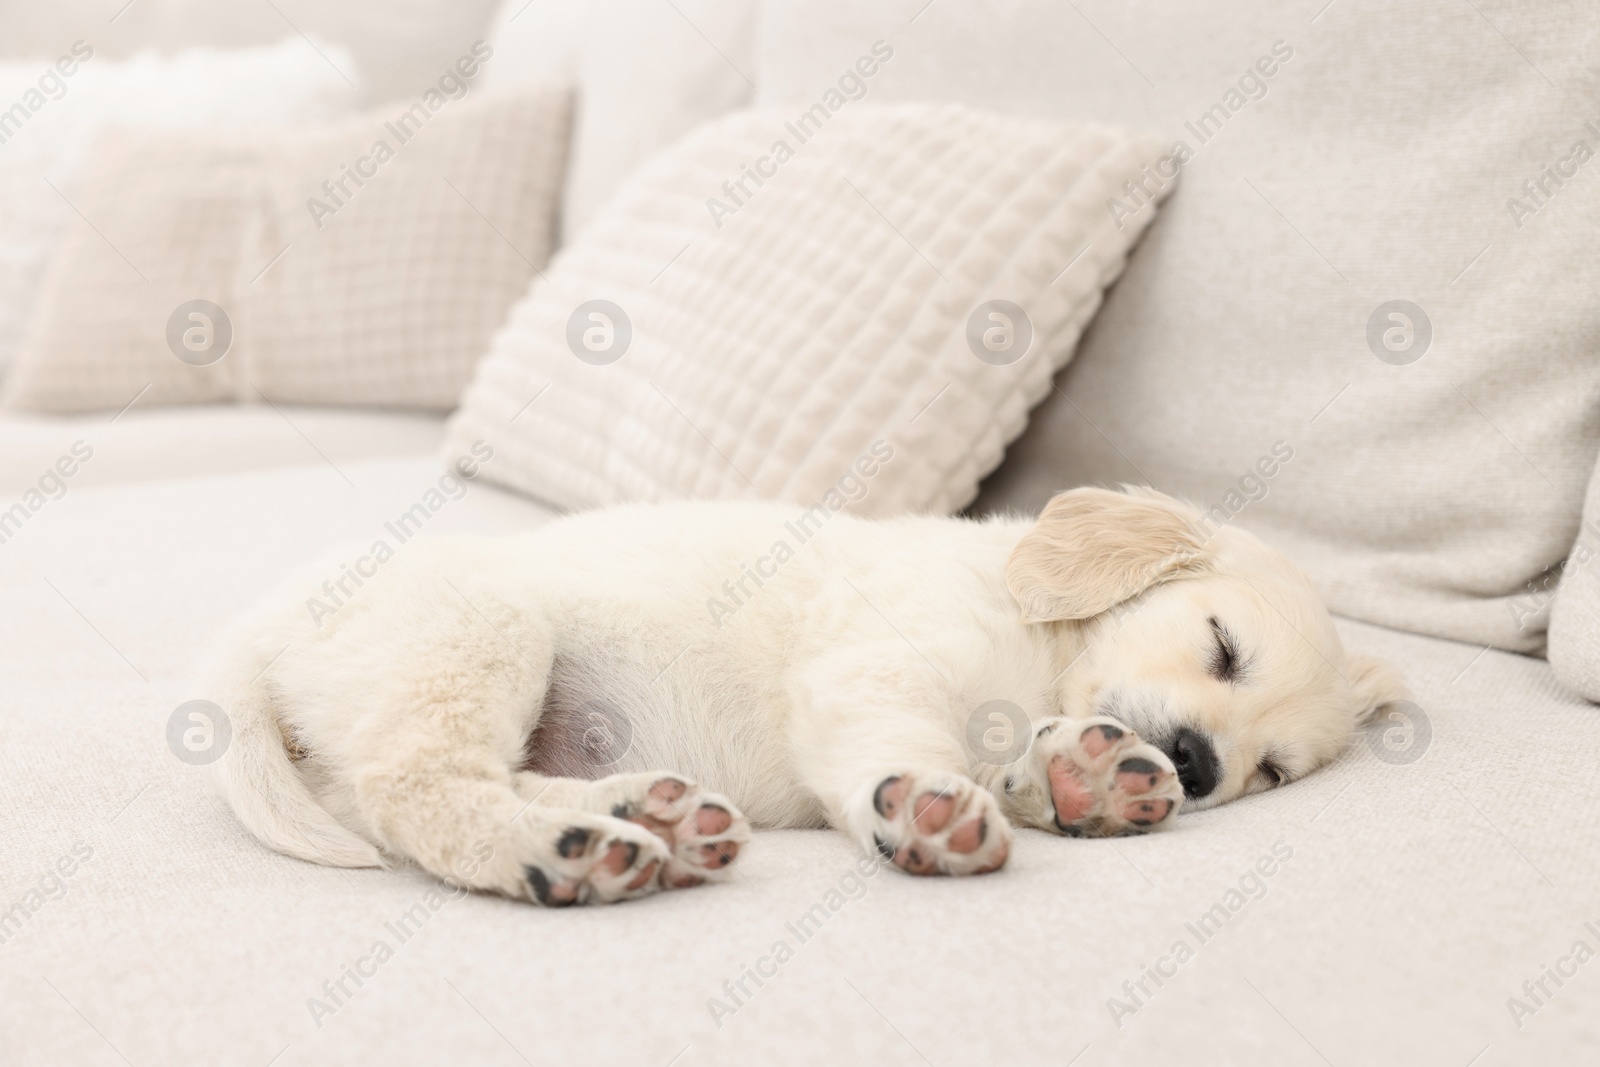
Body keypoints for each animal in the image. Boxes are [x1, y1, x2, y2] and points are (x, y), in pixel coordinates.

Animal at [209, 489, 1401, 908]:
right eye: (1223, 646)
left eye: (1270, 773)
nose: (1199, 766)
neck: (1037, 646)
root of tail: (261, 624)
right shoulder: (875, 667)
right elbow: (907, 746)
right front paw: (925, 803)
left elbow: (1026, 759)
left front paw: (1086, 777)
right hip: (479, 635)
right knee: (425, 788)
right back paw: (564, 855)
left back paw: (649, 818)